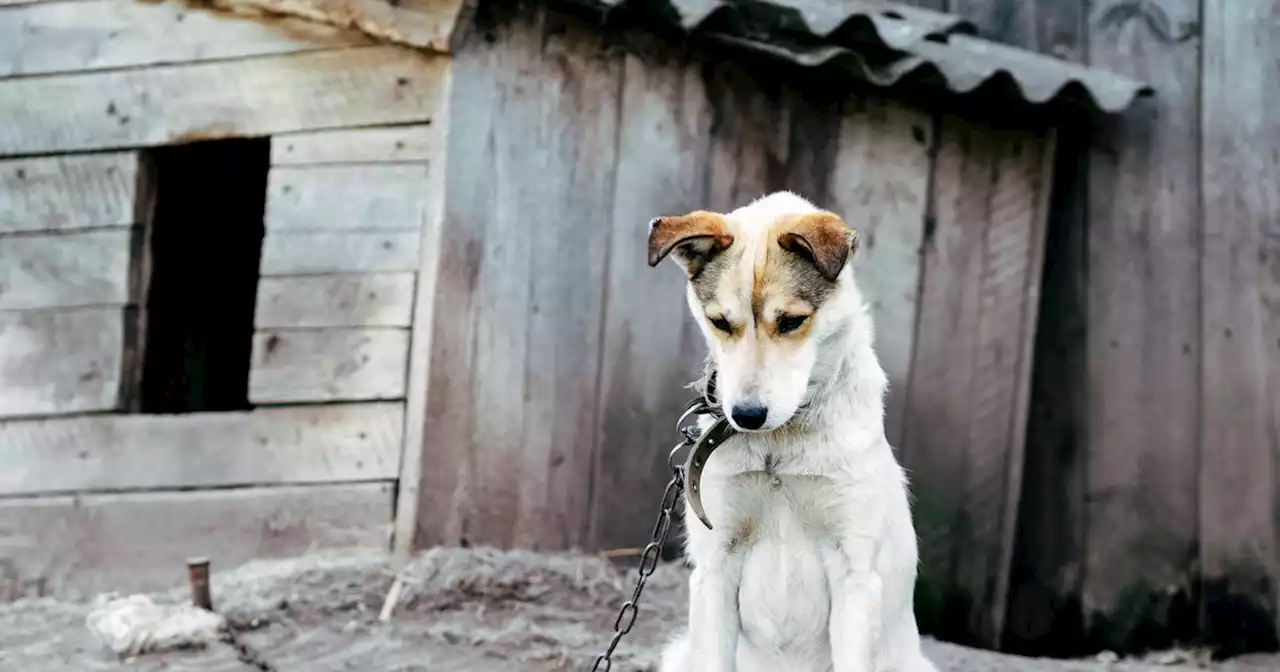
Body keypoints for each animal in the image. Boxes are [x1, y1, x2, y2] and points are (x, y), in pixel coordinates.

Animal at [645, 189, 936, 670]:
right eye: (720, 322)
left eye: (791, 321)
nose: (746, 415)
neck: (777, 448)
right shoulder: (715, 569)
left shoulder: (855, 574)